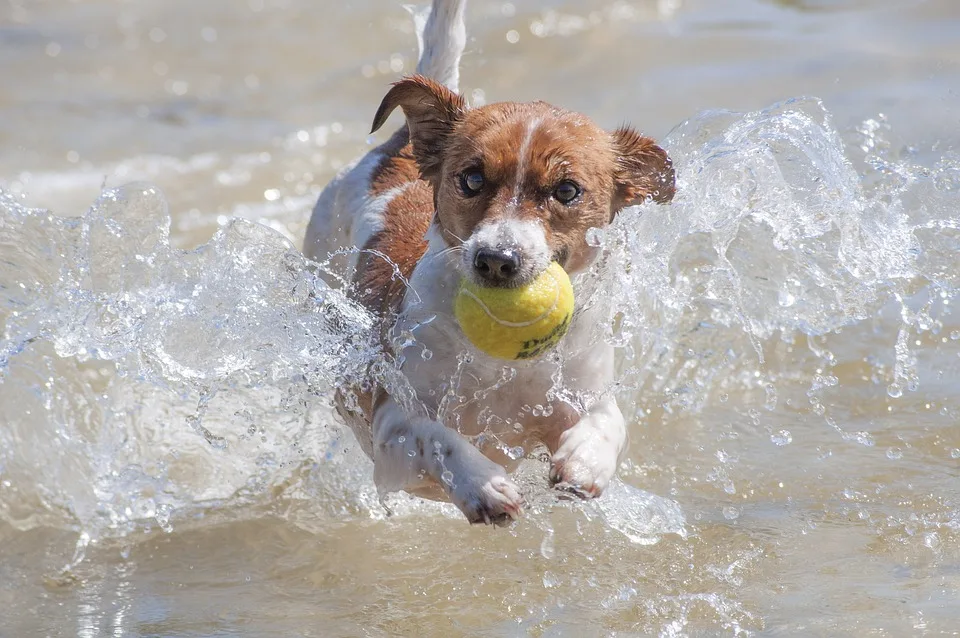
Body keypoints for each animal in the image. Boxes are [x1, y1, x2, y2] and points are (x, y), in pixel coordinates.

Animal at [304, 0, 672, 524]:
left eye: (567, 191)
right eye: (472, 179)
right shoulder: (391, 425)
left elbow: (608, 422)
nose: (497, 259)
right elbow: (437, 436)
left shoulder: (584, 393)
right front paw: (481, 484)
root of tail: (399, 144)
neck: (504, 367)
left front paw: (585, 462)